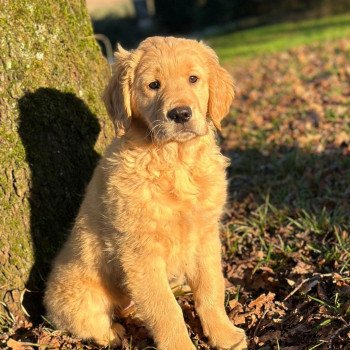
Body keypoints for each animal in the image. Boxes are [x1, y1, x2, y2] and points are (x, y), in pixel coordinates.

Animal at [44, 37, 246, 348]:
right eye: (153, 85)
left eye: (193, 78)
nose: (180, 114)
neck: (175, 161)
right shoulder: (140, 252)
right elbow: (165, 309)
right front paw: (180, 345)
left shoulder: (205, 235)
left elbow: (211, 288)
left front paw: (225, 335)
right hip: (78, 294)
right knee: (90, 323)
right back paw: (113, 334)